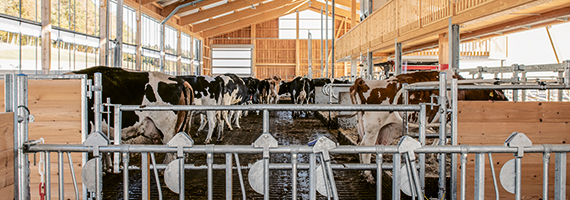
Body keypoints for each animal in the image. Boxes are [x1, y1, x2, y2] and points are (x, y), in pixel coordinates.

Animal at [346, 69, 506, 182]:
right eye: (501, 97)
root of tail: (362, 81)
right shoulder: (447, 119)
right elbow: (445, 136)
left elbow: (439, 135)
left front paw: (433, 153)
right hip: (373, 128)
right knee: (365, 148)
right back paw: (368, 175)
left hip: (368, 127)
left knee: (360, 145)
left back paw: (363, 171)